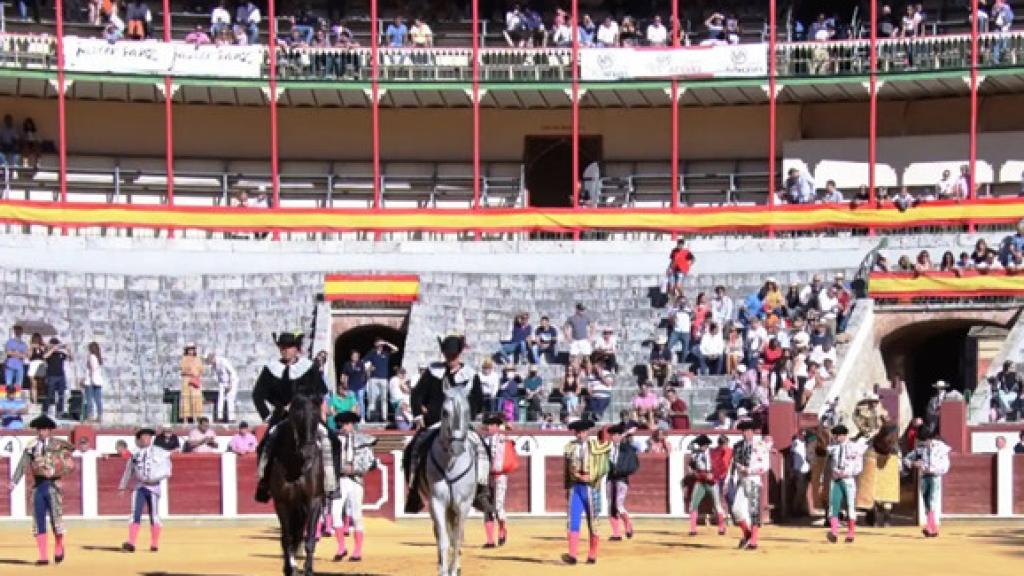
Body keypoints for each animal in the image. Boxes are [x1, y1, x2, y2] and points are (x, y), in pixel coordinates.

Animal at [270, 393, 325, 573]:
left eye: (317, 416)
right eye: (296, 417)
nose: (308, 453)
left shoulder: (314, 500)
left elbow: (310, 539)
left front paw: (308, 569)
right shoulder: (281, 502)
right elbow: (286, 538)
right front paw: (289, 568)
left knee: (300, 533)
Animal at [417, 387, 477, 569]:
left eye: (468, 411)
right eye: (444, 412)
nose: (456, 447)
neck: (450, 463)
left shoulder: (463, 504)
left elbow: (456, 540)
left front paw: (453, 568)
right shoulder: (437, 501)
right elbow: (444, 539)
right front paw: (444, 569)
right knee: (439, 533)